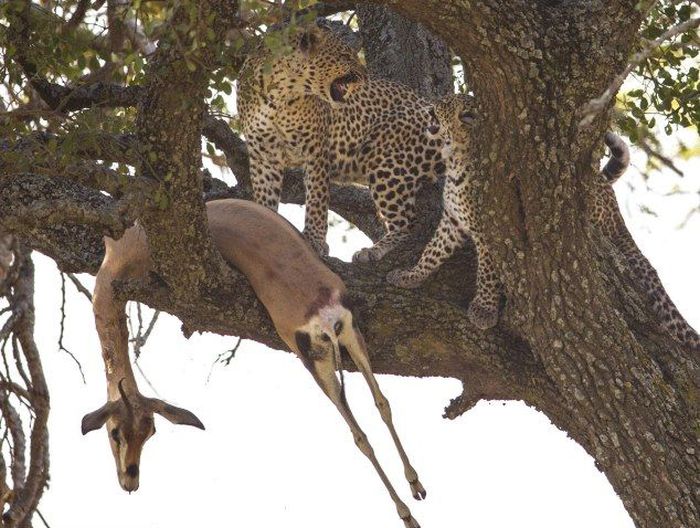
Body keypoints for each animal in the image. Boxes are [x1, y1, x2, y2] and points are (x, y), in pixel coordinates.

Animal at [81, 199, 422, 528]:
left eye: (148, 431)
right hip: (351, 337)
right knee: (382, 403)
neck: (123, 255)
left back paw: (408, 515)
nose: (130, 479)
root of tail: (322, 312)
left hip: (314, 362)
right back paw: (417, 487)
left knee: (359, 435)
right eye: (119, 432)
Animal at [238, 25, 448, 258]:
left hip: (385, 160)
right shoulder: (263, 154)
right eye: (345, 56)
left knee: (407, 224)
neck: (279, 94)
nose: (365, 76)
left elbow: (317, 200)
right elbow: (265, 197)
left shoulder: (316, 149)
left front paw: (315, 240)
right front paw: (265, 222)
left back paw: (374, 250)